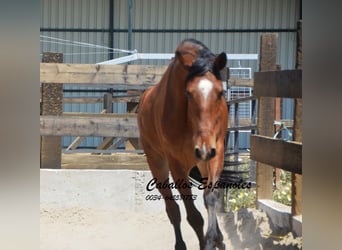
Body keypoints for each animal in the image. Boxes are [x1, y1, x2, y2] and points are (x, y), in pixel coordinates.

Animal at [138, 38, 228, 249]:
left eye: (220, 93)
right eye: (188, 94)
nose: (204, 149)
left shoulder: (216, 152)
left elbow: (210, 198)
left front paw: (214, 239)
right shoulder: (176, 163)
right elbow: (194, 216)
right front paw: (206, 243)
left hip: (202, 162)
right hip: (158, 164)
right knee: (173, 209)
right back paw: (181, 244)